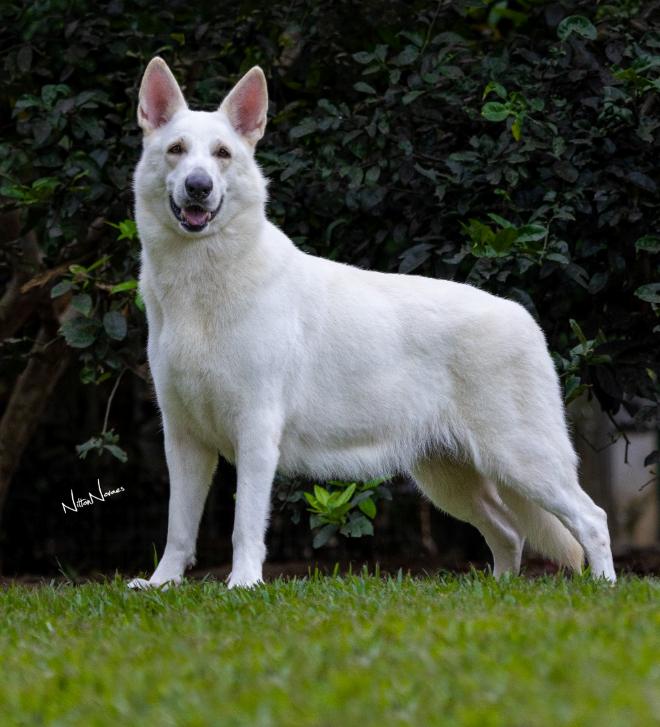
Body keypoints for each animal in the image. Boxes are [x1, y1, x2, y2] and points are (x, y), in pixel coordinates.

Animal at [130, 58, 620, 592]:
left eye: (222, 154)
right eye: (176, 150)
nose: (198, 187)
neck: (201, 288)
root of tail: (524, 318)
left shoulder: (256, 431)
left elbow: (244, 527)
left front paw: (243, 585)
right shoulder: (182, 438)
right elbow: (178, 528)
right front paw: (160, 585)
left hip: (521, 459)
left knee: (592, 519)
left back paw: (605, 588)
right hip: (450, 477)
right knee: (509, 533)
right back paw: (498, 590)